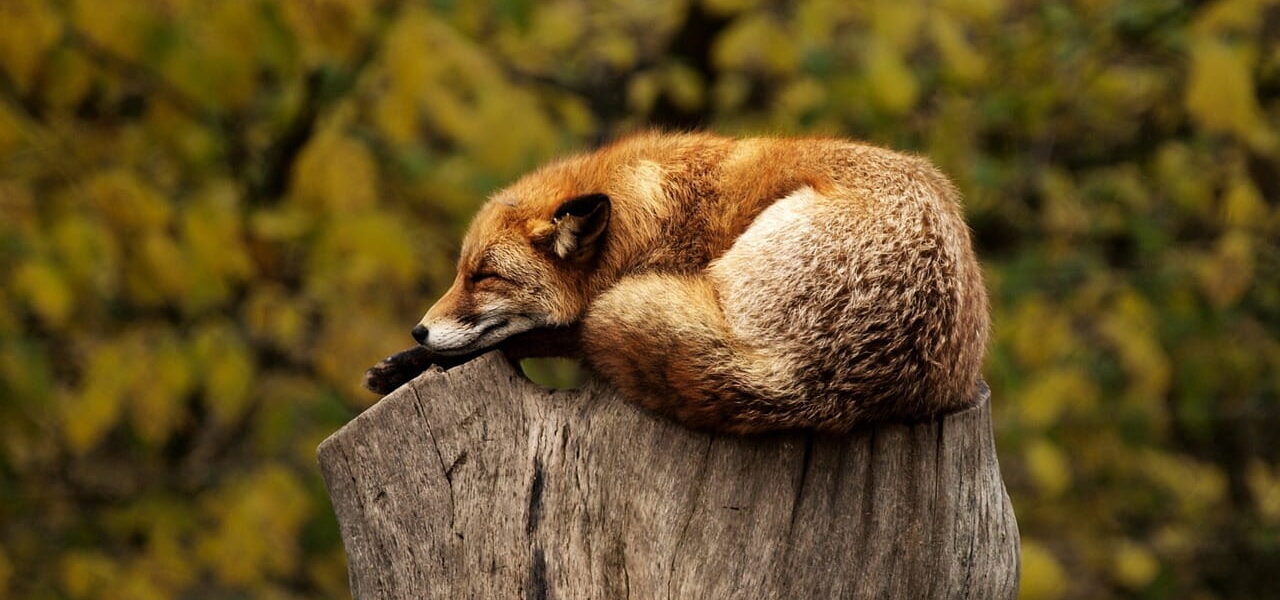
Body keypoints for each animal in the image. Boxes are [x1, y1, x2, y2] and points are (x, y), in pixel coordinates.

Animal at [364, 132, 989, 434]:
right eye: (460, 272)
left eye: (484, 276)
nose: (419, 330)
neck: (647, 218)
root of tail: (811, 381)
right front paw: (402, 363)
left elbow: (531, 336)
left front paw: (410, 363)